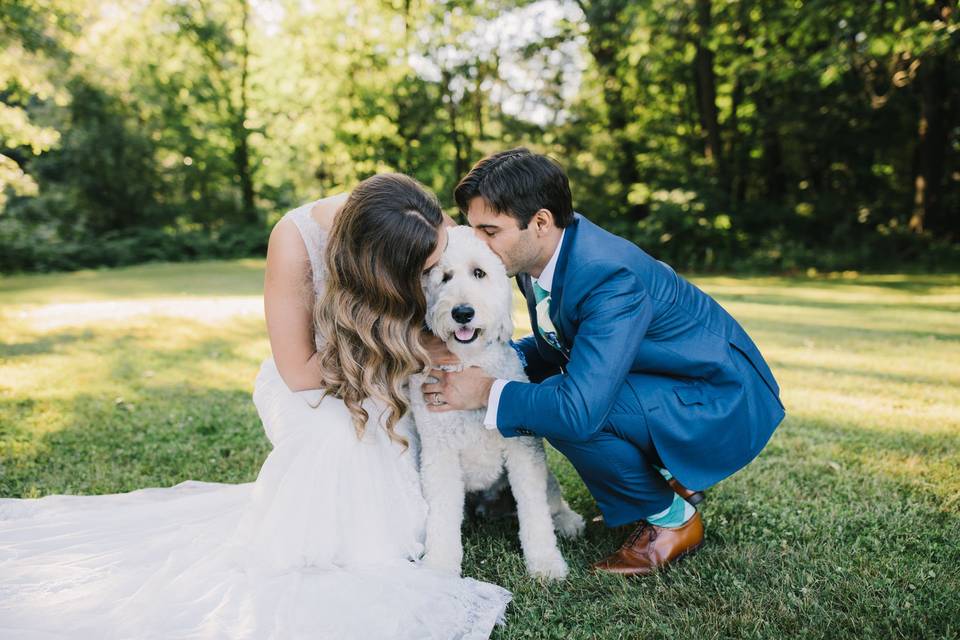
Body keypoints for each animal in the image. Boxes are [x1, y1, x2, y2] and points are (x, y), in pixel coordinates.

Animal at [406, 225, 580, 580]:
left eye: (479, 273)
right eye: (444, 277)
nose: (462, 313)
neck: (469, 361)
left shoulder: (523, 450)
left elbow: (535, 511)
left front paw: (545, 562)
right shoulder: (439, 454)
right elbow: (442, 515)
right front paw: (440, 566)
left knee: (553, 500)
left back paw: (569, 522)